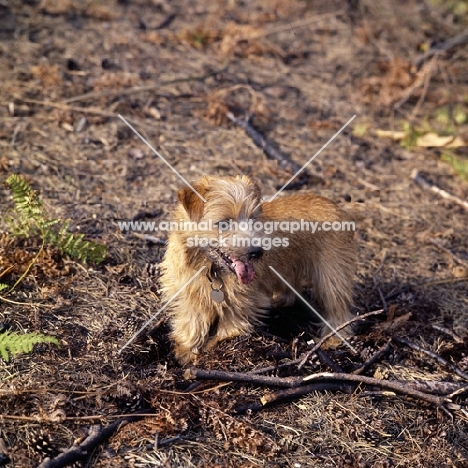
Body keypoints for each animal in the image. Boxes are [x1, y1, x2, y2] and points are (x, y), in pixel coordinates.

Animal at [159, 176, 360, 366]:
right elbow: (192, 322)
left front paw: (215, 347)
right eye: (223, 223)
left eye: (253, 219)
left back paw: (332, 340)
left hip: (332, 276)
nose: (257, 251)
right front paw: (186, 351)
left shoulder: (242, 301)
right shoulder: (191, 294)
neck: (211, 267)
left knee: (338, 310)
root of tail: (341, 208)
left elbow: (230, 324)